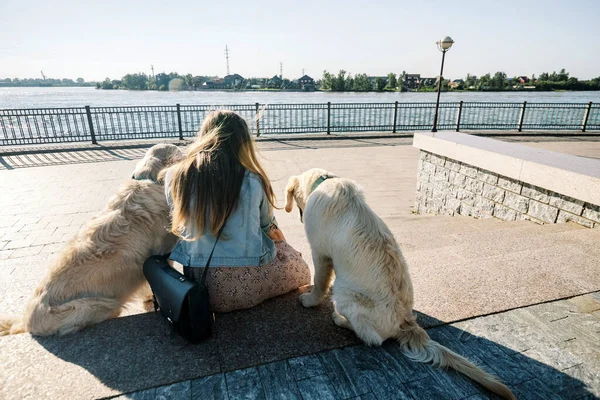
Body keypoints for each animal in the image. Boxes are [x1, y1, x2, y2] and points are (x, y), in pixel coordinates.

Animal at [286, 169, 516, 400]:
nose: (297, 216)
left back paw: (340, 319)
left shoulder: (320, 253)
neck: (326, 182)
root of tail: (406, 322)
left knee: (372, 338)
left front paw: (309, 299)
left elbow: (319, 281)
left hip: (344, 294)